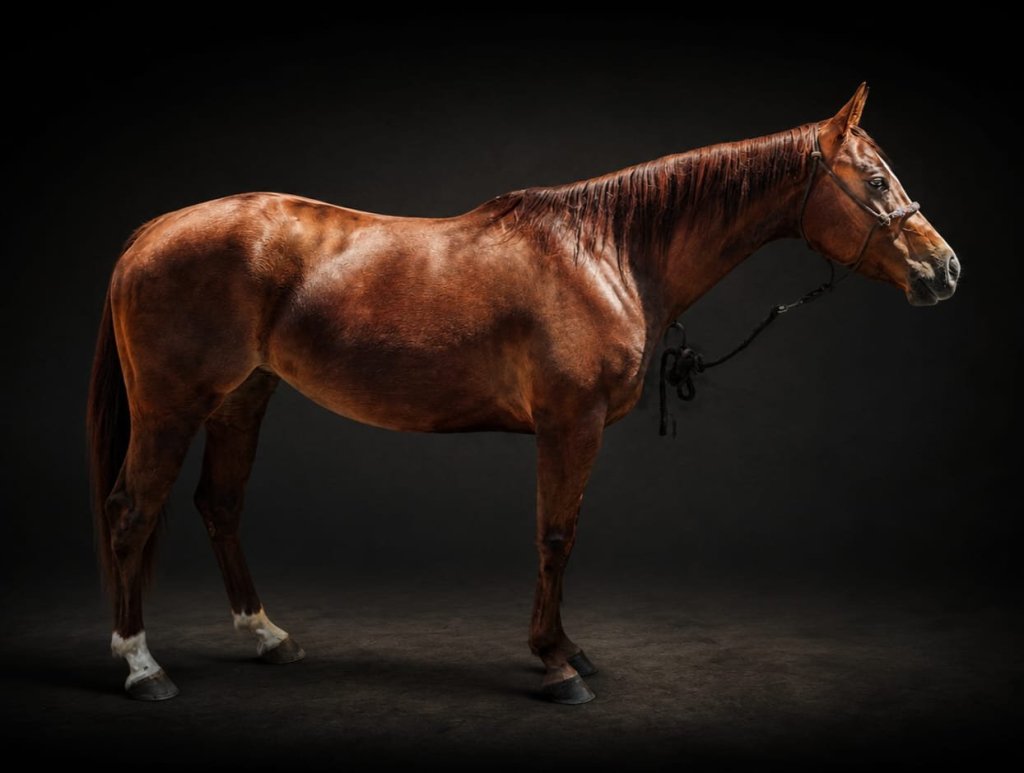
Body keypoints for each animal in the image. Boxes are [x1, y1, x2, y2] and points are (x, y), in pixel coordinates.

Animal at [86, 84, 958, 705]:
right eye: (875, 178)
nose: (944, 268)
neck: (606, 252)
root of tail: (151, 231)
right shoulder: (570, 425)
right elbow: (556, 537)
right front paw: (556, 666)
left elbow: (563, 539)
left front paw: (568, 649)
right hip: (172, 407)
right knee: (132, 511)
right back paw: (141, 664)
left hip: (243, 398)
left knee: (218, 505)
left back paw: (267, 635)